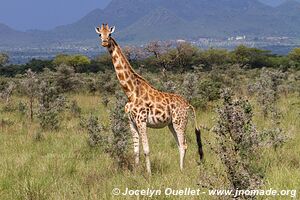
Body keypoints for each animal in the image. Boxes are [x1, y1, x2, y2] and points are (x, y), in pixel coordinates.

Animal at [95, 23, 204, 173]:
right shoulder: (131, 122)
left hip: (180, 122)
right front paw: (135, 173)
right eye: (100, 34)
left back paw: (182, 170)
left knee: (184, 145)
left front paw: (149, 174)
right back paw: (178, 168)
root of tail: (188, 104)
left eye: (110, 34)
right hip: (171, 124)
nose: (105, 42)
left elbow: (146, 150)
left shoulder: (141, 121)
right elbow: (136, 151)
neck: (130, 92)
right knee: (179, 144)